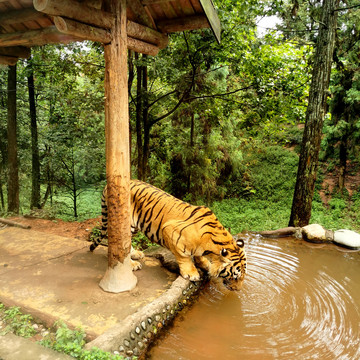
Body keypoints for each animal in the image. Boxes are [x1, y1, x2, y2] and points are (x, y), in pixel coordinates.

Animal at [90, 179, 248, 292]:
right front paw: (192, 273)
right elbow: (184, 256)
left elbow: (198, 255)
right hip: (125, 222)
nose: (238, 290)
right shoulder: (169, 230)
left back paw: (137, 254)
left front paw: (205, 264)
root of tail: (107, 186)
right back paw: (133, 264)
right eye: (235, 276)